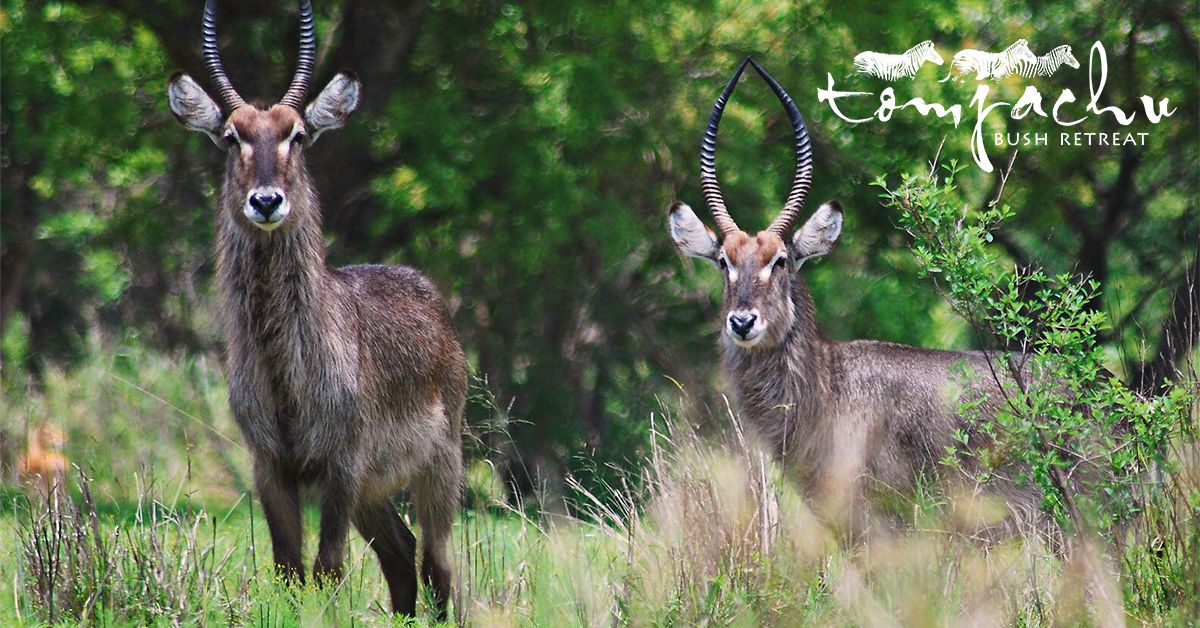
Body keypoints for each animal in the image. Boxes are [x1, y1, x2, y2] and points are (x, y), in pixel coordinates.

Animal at [166, 0, 465, 618]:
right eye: (230, 136)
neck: (286, 368)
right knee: (400, 553)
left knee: (436, 564)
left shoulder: (341, 464)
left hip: (440, 464)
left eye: (298, 135)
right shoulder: (269, 466)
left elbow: (327, 570)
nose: (266, 201)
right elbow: (288, 570)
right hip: (375, 489)